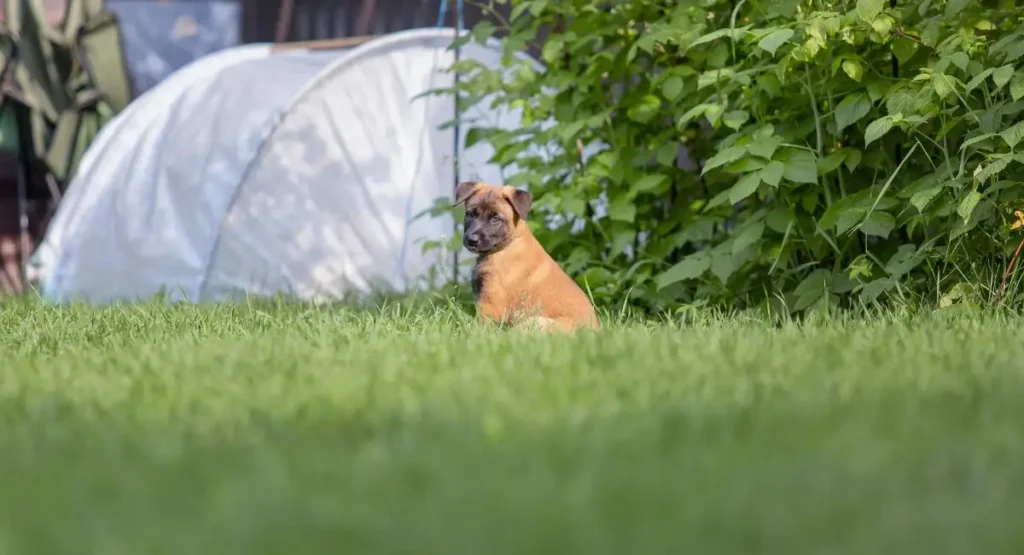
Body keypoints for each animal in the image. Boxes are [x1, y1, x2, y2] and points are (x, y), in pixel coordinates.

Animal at [450, 180, 598, 333]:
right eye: (470, 214)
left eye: (496, 219)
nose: (472, 240)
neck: (508, 245)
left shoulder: (490, 303)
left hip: (534, 321)